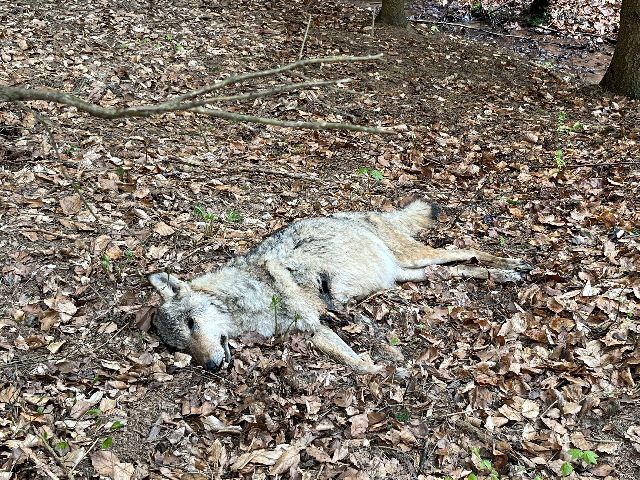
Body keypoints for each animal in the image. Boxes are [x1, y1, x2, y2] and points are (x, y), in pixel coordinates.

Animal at [150, 200, 528, 376]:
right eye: (181, 348)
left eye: (192, 324)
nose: (211, 366)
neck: (246, 302)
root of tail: (367, 213)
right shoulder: (313, 332)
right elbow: (353, 361)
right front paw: (380, 371)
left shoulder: (314, 322)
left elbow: (356, 360)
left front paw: (385, 372)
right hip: (410, 274)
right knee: (458, 269)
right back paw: (506, 276)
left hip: (415, 257)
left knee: (467, 250)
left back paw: (512, 263)